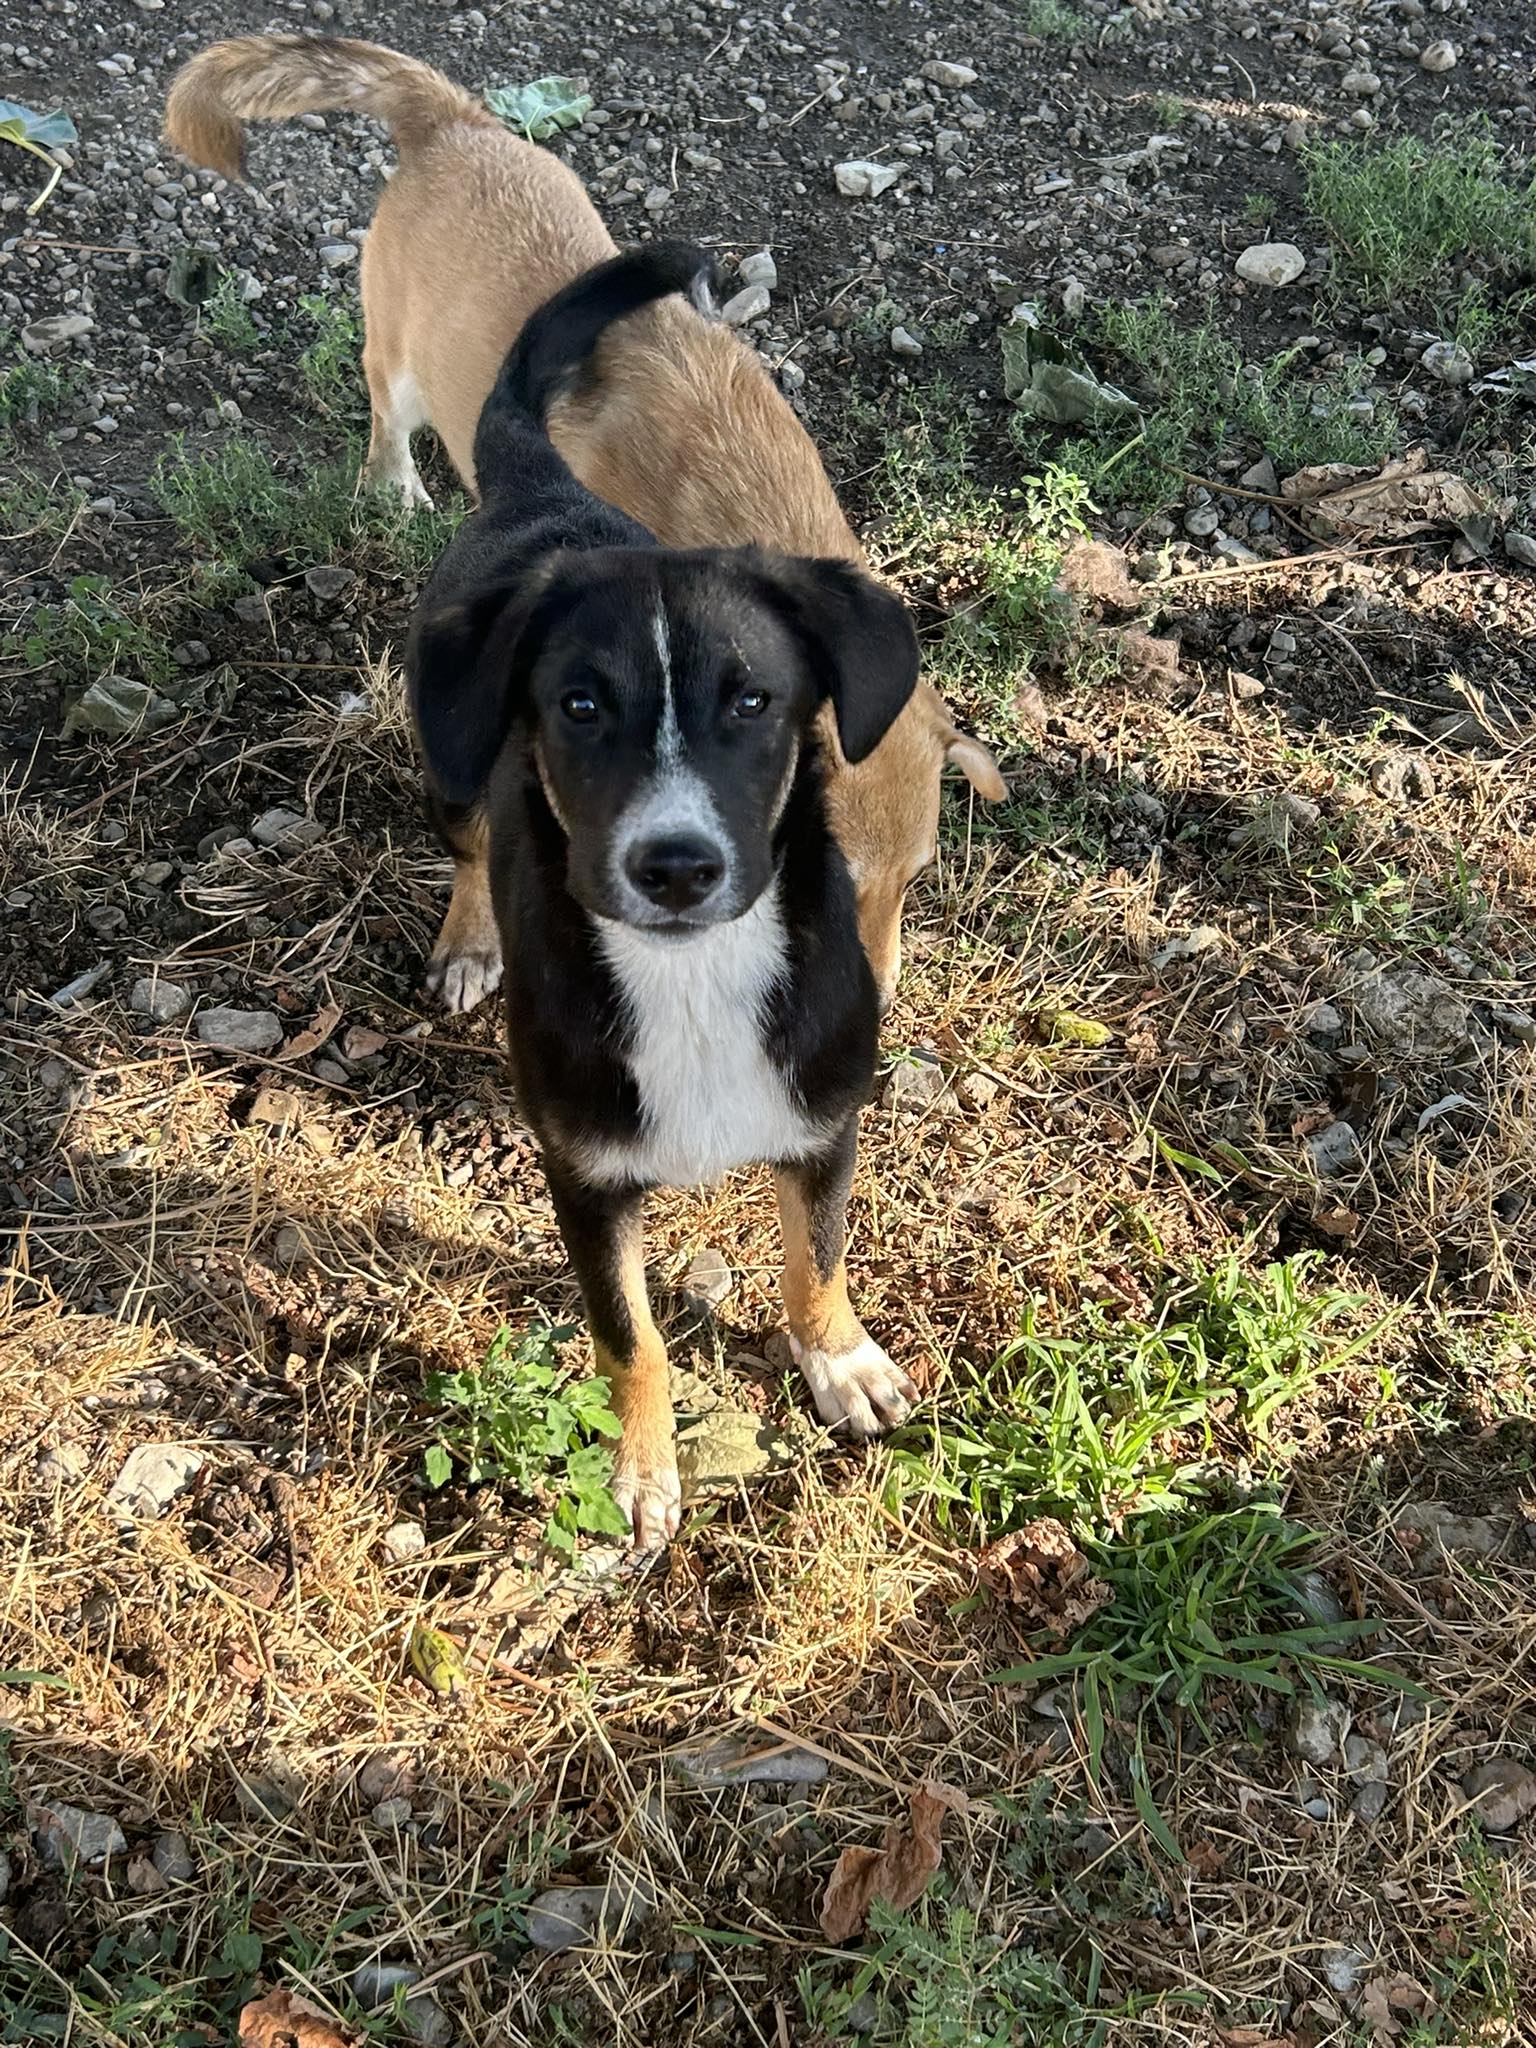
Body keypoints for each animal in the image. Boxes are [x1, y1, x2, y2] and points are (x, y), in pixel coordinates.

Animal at [164, 34, 1006, 1018]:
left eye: (916, 879)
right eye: (822, 881)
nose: (871, 1016)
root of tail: (451, 120)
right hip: (396, 365)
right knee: (382, 417)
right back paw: (393, 487)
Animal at [407, 241, 923, 1548]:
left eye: (753, 700)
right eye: (581, 705)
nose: (677, 865)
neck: (692, 978)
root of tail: (543, 489)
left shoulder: (823, 1124)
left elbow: (818, 1258)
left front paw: (840, 1360)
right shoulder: (585, 1178)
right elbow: (628, 1331)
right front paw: (641, 1468)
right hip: (448, 766)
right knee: (466, 845)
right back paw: (469, 941)